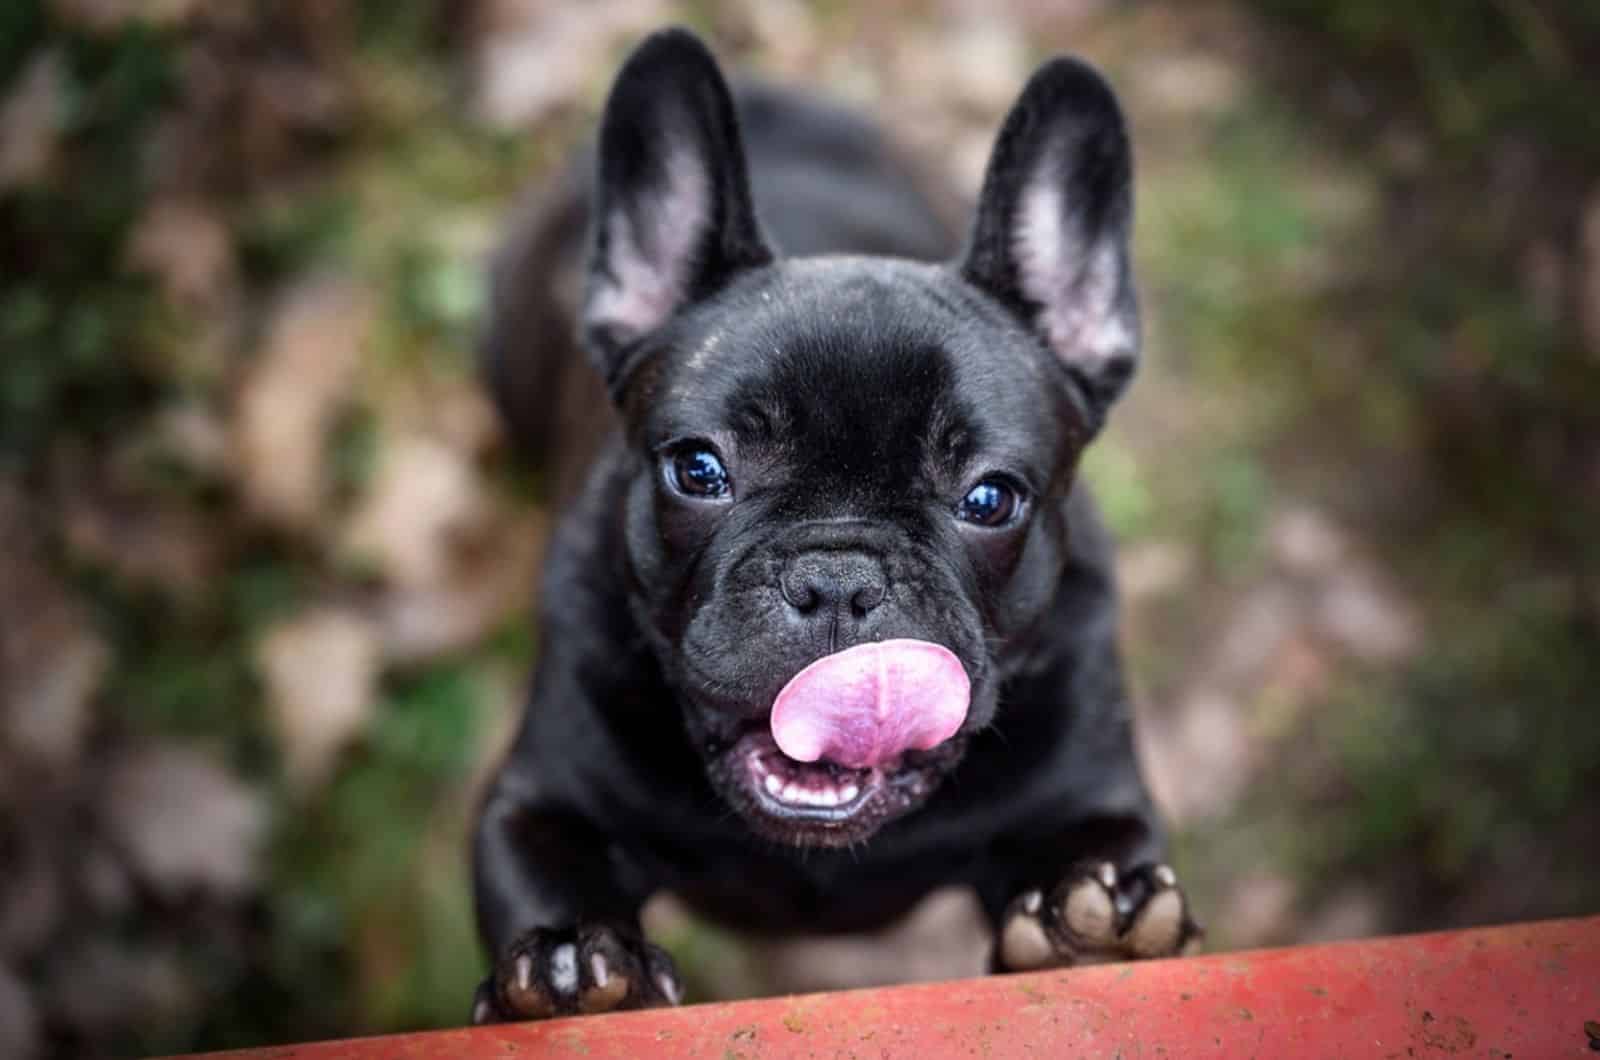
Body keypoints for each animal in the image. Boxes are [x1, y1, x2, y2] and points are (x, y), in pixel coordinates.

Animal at [467, 27, 1196, 1031]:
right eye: (699, 470)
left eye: (990, 499)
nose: (839, 578)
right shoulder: (534, 806)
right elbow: (544, 871)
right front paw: (571, 962)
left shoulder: (1094, 799)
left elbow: (1104, 855)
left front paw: (1095, 928)